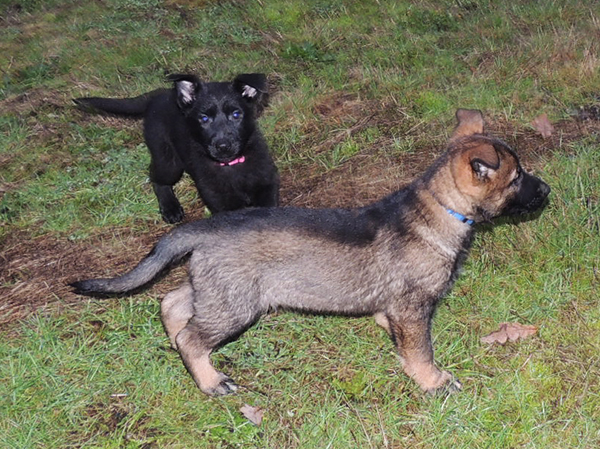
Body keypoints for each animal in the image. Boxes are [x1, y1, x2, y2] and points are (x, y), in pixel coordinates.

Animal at [75, 73, 282, 224]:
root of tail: (159, 95)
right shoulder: (220, 200)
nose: (223, 146)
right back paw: (170, 207)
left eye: (236, 115)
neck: (232, 165)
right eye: (204, 119)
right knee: (156, 178)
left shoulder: (268, 186)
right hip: (168, 161)